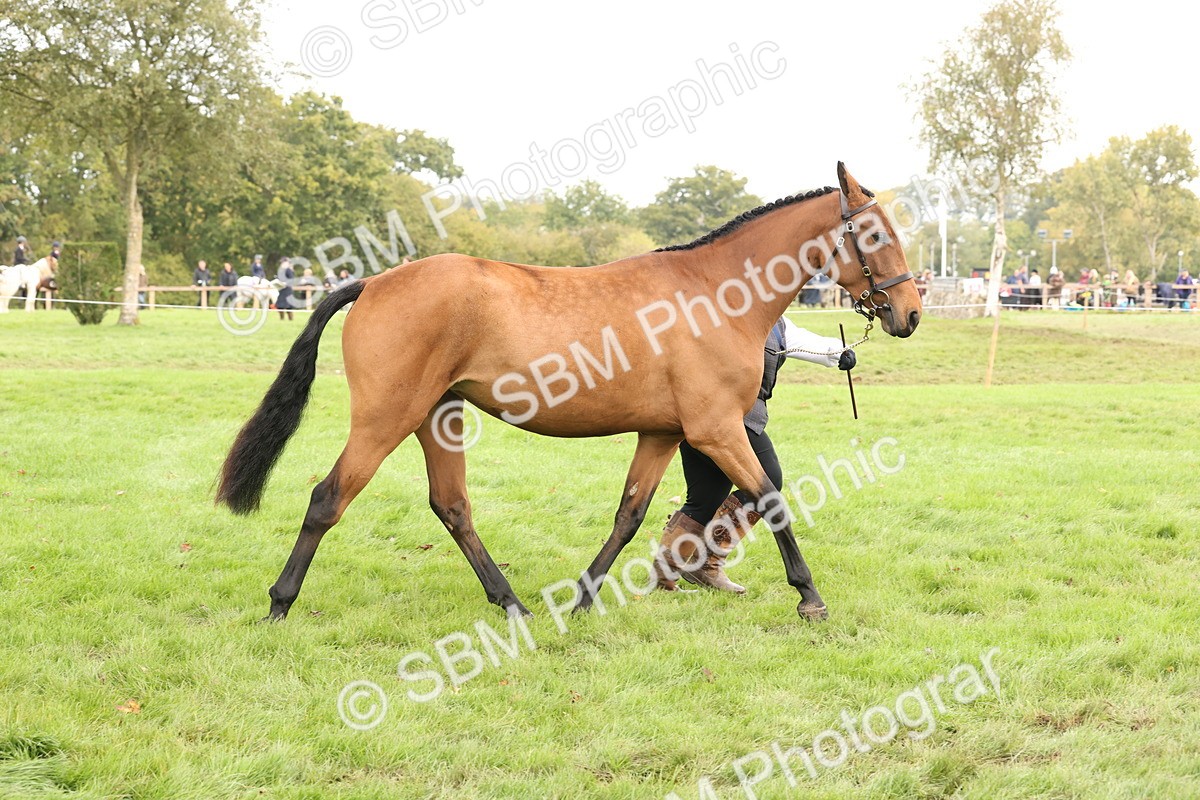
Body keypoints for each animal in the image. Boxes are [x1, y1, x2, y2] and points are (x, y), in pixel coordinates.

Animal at [217, 164, 922, 623]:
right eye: (876, 235)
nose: (910, 313)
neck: (714, 295)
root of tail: (374, 281)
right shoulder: (716, 429)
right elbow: (770, 499)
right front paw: (810, 597)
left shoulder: (664, 432)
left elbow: (630, 515)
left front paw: (583, 598)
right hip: (385, 419)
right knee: (328, 498)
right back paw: (280, 604)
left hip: (437, 416)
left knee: (452, 506)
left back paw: (513, 605)